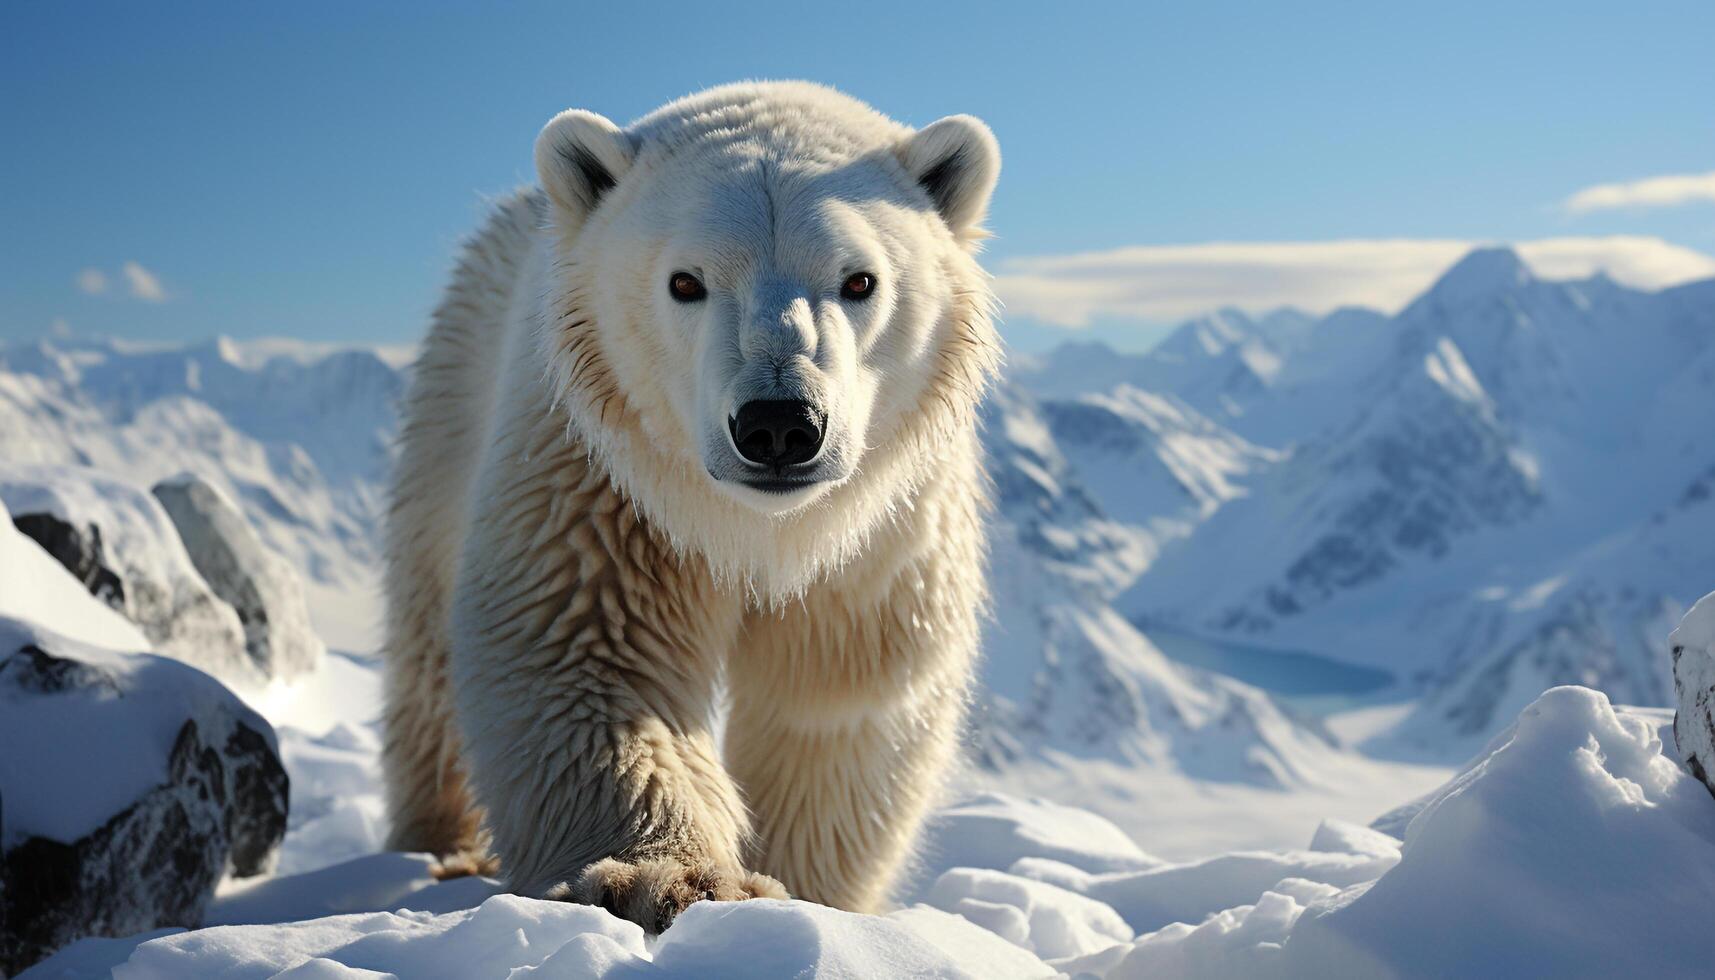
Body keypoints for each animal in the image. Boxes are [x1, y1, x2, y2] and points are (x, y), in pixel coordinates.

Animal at [382, 80, 1001, 933]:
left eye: (860, 280)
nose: (779, 425)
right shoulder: (602, 479)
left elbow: (835, 698)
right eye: (685, 281)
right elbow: (590, 651)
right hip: (453, 397)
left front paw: (805, 897)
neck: (758, 529)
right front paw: (664, 880)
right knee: (427, 649)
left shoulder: (878, 532)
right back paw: (441, 848)